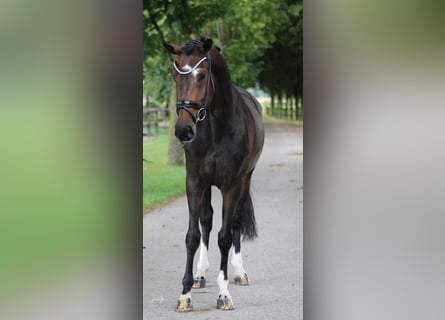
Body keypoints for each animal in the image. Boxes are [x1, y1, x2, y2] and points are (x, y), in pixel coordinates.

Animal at [162, 36, 264, 312]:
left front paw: (224, 293)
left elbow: (225, 237)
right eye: (176, 75)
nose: (183, 130)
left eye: (202, 75)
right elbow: (193, 235)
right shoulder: (195, 182)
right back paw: (199, 274)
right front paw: (185, 293)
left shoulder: (231, 185)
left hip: (245, 179)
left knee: (236, 222)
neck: (219, 126)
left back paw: (239, 272)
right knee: (206, 220)